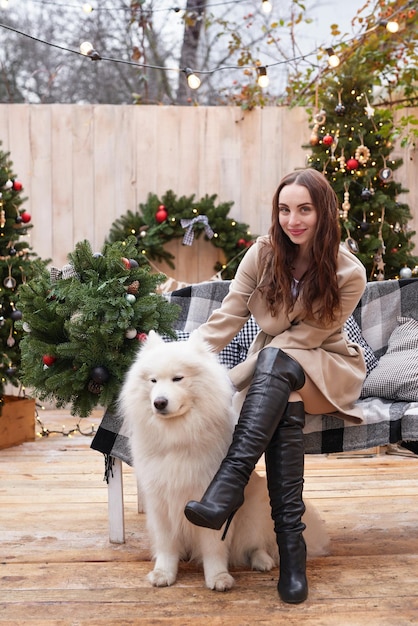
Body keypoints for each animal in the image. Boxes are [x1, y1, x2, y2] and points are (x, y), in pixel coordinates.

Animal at [118, 330, 330, 588]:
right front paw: (163, 573)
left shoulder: (206, 502)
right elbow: (167, 545)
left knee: (256, 545)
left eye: (178, 378)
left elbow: (213, 547)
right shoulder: (160, 503)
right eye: (153, 381)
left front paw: (218, 577)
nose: (159, 402)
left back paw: (262, 561)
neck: (177, 437)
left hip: (252, 513)